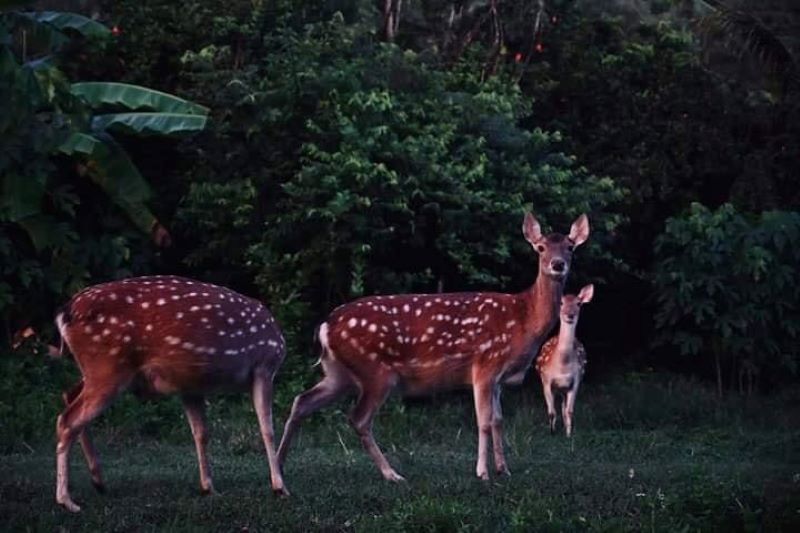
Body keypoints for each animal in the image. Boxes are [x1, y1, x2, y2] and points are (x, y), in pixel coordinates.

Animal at [52, 274, 288, 512]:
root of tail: (66, 312)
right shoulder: (264, 367)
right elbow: (267, 429)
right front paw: (280, 487)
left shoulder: (190, 385)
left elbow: (201, 432)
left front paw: (208, 487)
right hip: (108, 367)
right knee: (67, 419)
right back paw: (67, 500)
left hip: (97, 371)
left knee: (69, 396)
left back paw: (98, 482)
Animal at [536, 282, 592, 436]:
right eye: (561, 302)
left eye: (579, 303)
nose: (570, 315)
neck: (562, 365)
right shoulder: (546, 380)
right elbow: (551, 412)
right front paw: (551, 433)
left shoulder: (576, 380)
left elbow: (569, 411)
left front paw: (569, 435)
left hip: (564, 389)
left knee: (563, 407)